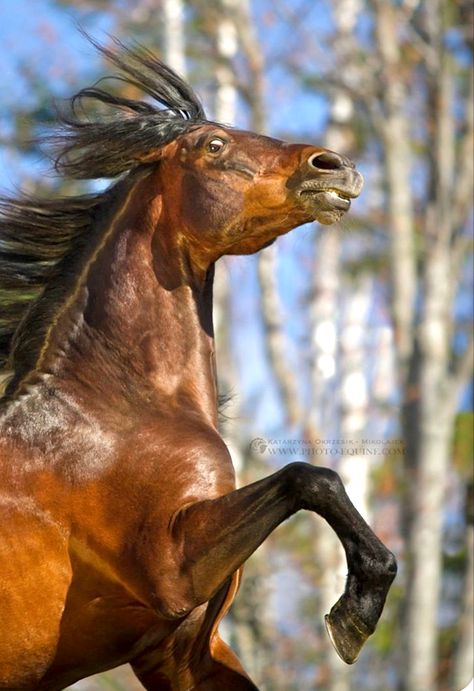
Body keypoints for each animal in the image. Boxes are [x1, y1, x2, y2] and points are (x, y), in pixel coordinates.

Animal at [0, 39, 396, 691]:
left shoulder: (182, 650)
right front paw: (356, 611)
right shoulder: (170, 571)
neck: (115, 408)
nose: (335, 166)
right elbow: (310, 477)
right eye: (213, 145)